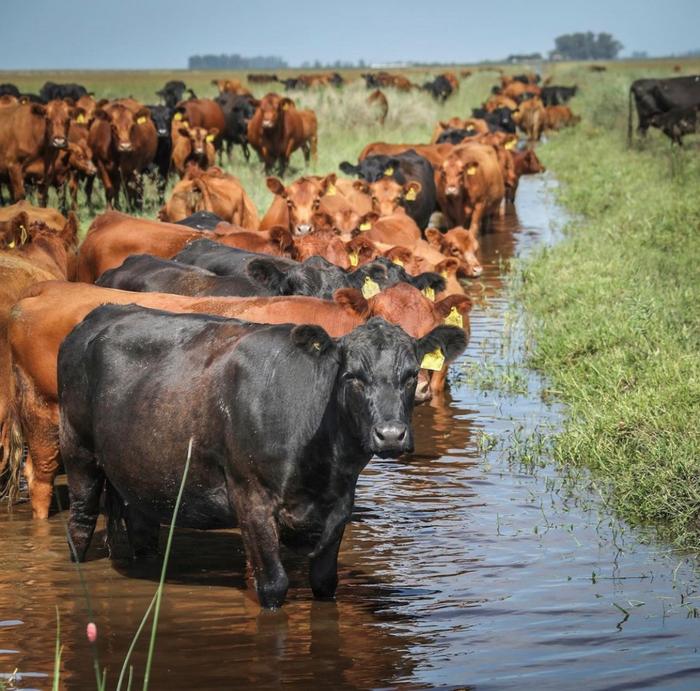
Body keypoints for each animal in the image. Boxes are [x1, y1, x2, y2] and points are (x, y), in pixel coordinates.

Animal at [8, 280, 470, 512]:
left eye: (424, 338)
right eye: (380, 318)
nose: (422, 386)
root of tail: (42, 290)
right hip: (44, 412)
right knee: (41, 478)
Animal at [60, 306, 464, 608]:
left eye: (411, 375)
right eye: (352, 376)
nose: (391, 434)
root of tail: (100, 313)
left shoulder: (339, 504)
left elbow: (324, 580)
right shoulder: (249, 496)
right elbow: (273, 584)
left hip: (141, 469)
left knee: (141, 530)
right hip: (78, 450)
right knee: (79, 525)